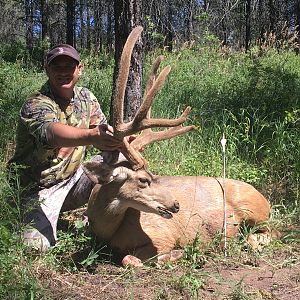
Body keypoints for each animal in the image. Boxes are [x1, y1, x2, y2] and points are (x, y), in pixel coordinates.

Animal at [82, 27, 272, 268]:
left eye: (154, 175)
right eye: (144, 179)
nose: (176, 205)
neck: (108, 231)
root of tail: (266, 200)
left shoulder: (161, 235)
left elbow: (130, 259)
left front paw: (182, 253)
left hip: (255, 212)